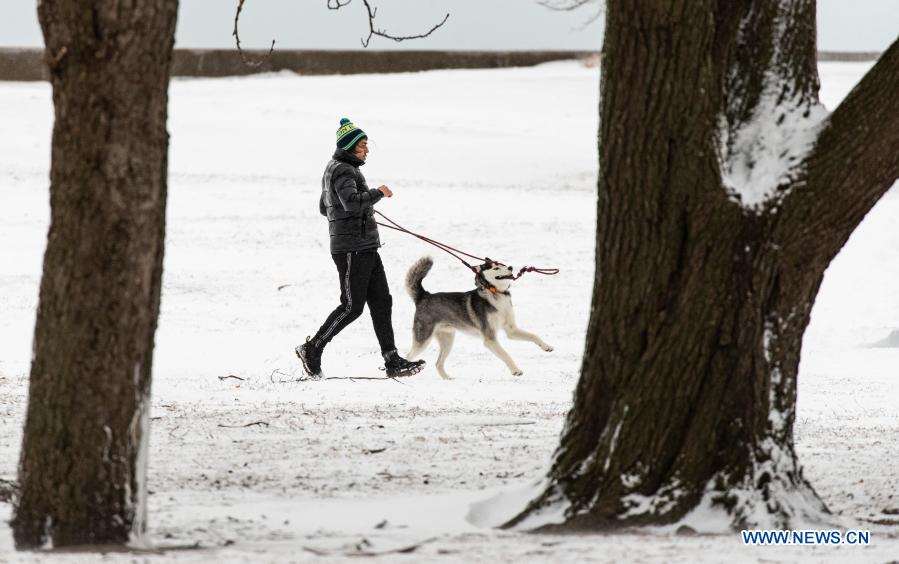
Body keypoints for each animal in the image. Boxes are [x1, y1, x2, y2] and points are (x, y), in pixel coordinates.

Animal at [404, 256, 552, 378]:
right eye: (496, 268)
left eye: (503, 264)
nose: (510, 267)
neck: (496, 293)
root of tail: (424, 295)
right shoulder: (490, 338)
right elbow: (506, 354)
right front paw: (515, 370)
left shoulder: (511, 330)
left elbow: (534, 336)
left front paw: (546, 346)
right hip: (423, 340)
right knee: (408, 356)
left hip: (448, 340)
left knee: (438, 363)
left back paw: (448, 379)